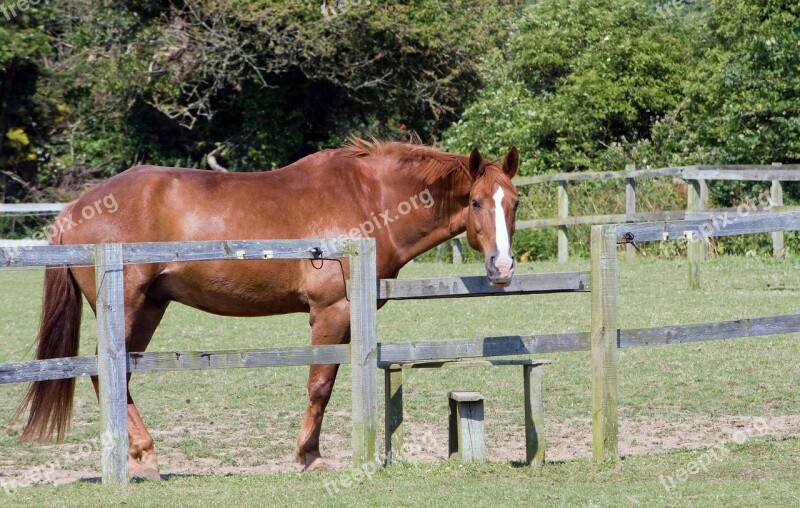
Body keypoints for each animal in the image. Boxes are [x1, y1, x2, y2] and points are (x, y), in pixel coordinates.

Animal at [20, 138, 520, 476]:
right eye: (476, 202)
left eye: (514, 203)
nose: (502, 266)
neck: (366, 198)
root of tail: (75, 210)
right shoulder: (331, 311)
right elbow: (320, 385)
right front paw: (309, 456)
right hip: (129, 309)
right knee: (105, 371)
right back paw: (142, 456)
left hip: (149, 309)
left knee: (117, 375)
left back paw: (139, 455)